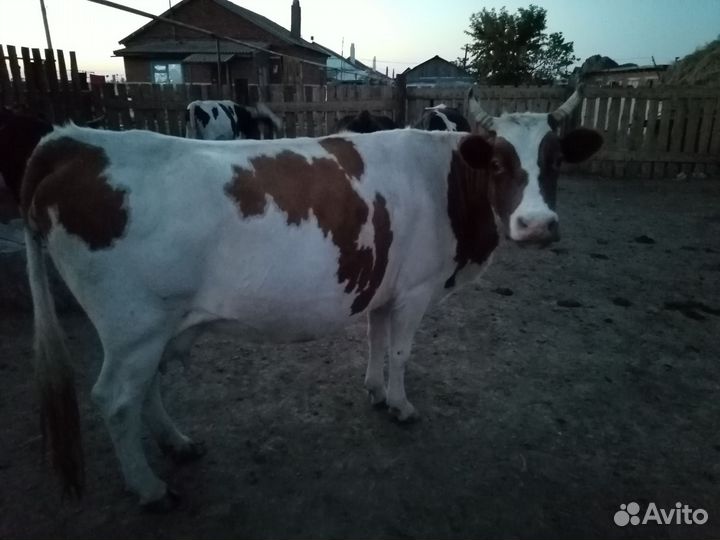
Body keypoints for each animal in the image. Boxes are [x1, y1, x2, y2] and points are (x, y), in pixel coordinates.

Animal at [0, 93, 601, 509]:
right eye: (498, 163)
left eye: (554, 160)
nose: (536, 225)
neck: (445, 179)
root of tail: (68, 141)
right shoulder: (415, 290)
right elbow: (401, 352)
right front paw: (401, 405)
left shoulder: (385, 288)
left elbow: (375, 341)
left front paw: (376, 392)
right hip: (134, 326)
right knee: (116, 400)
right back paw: (149, 488)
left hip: (155, 328)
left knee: (144, 390)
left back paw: (176, 444)